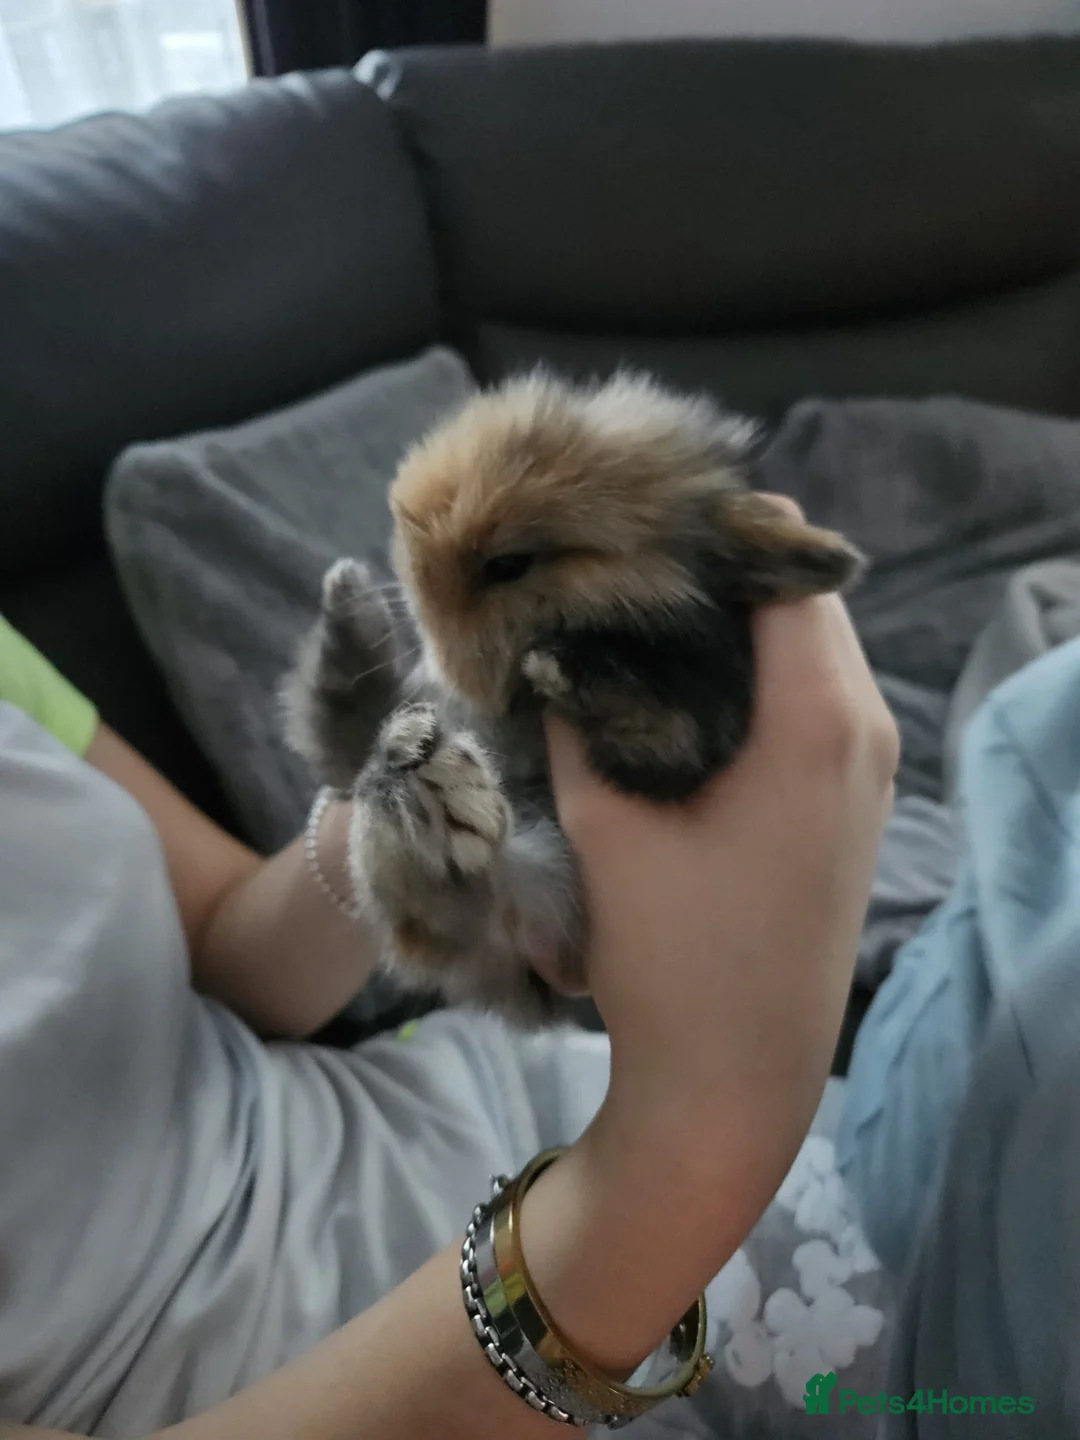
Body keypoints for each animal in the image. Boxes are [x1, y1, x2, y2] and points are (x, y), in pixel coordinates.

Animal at [282, 370, 864, 1028]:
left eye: (509, 563)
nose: (413, 581)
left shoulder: (698, 730)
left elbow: (660, 727)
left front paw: (559, 664)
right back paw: (360, 634)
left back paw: (427, 779)